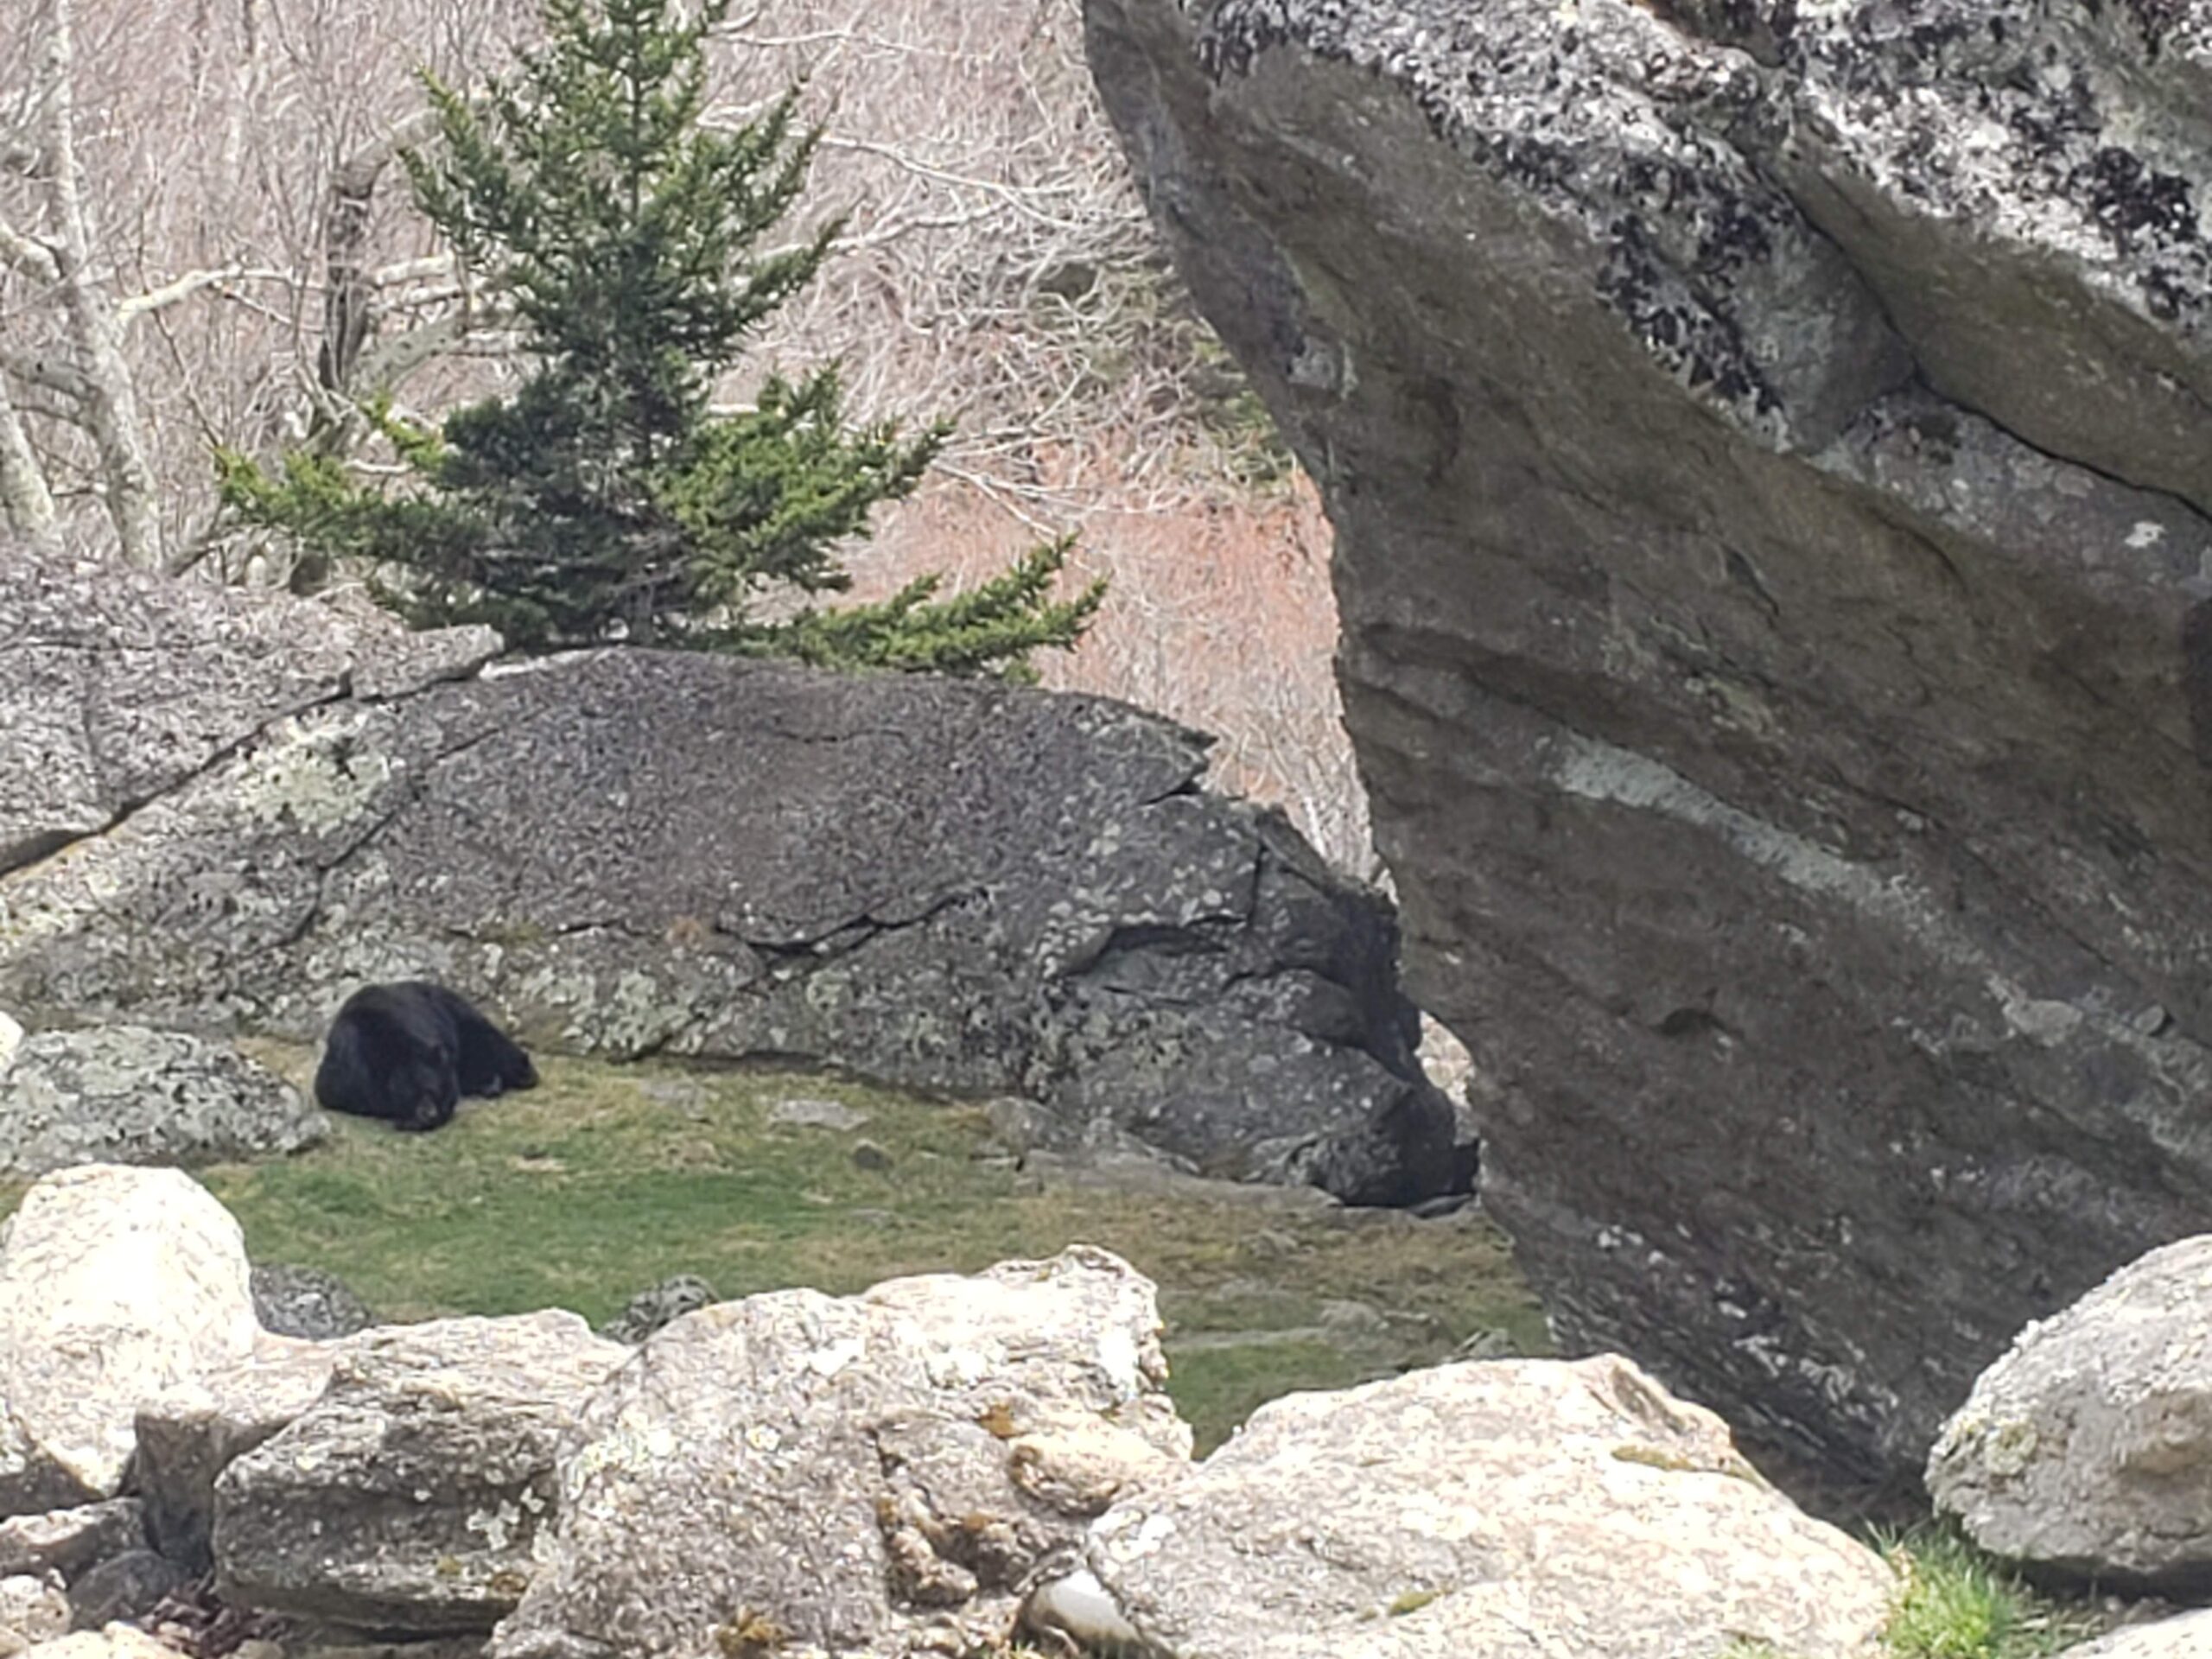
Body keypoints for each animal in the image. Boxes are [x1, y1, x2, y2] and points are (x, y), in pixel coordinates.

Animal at [314, 981, 538, 1131]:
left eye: (431, 1090)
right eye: (417, 1094)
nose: (429, 1114)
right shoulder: (347, 1071)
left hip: (457, 1015)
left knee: (486, 1039)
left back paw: (519, 1073)